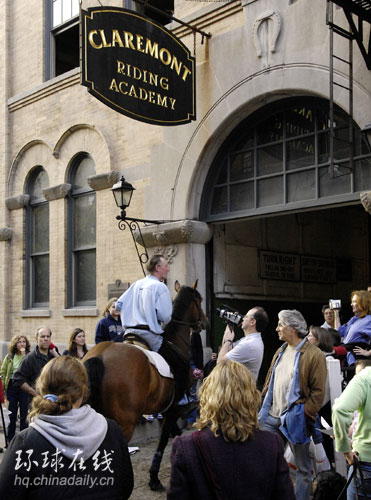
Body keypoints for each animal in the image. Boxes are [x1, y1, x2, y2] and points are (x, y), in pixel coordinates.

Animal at [83, 280, 209, 490]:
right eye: (198, 301)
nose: (205, 322)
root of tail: (101, 355)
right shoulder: (171, 410)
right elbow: (162, 442)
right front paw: (154, 478)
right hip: (124, 423)